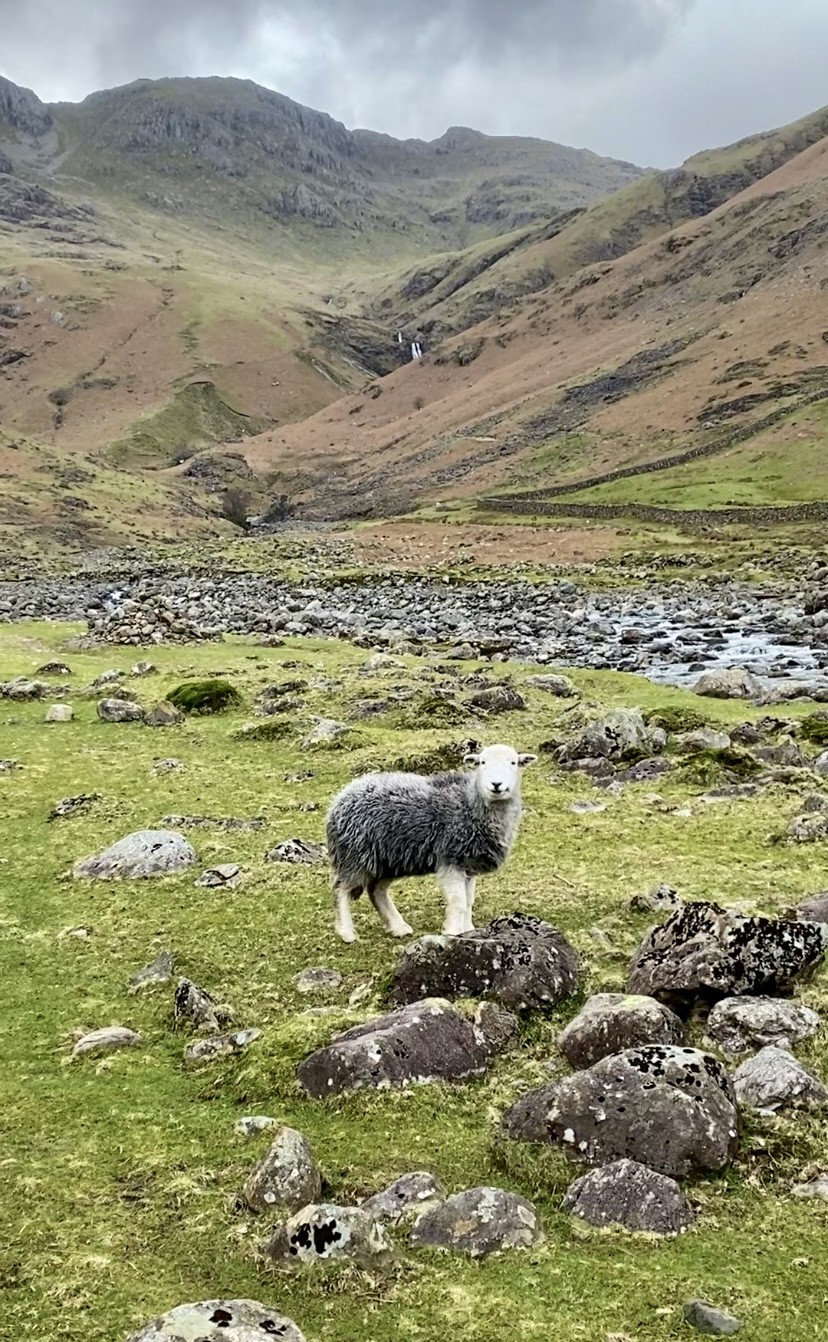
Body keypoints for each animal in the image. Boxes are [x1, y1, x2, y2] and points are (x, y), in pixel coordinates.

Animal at [325, 743, 537, 943]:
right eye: (482, 762)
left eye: (513, 763)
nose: (496, 784)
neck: (470, 802)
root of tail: (342, 796)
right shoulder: (451, 859)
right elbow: (458, 902)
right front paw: (453, 932)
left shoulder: (468, 863)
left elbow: (469, 901)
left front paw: (469, 930)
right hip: (353, 855)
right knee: (341, 890)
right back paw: (347, 932)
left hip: (387, 860)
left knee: (376, 891)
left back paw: (398, 926)